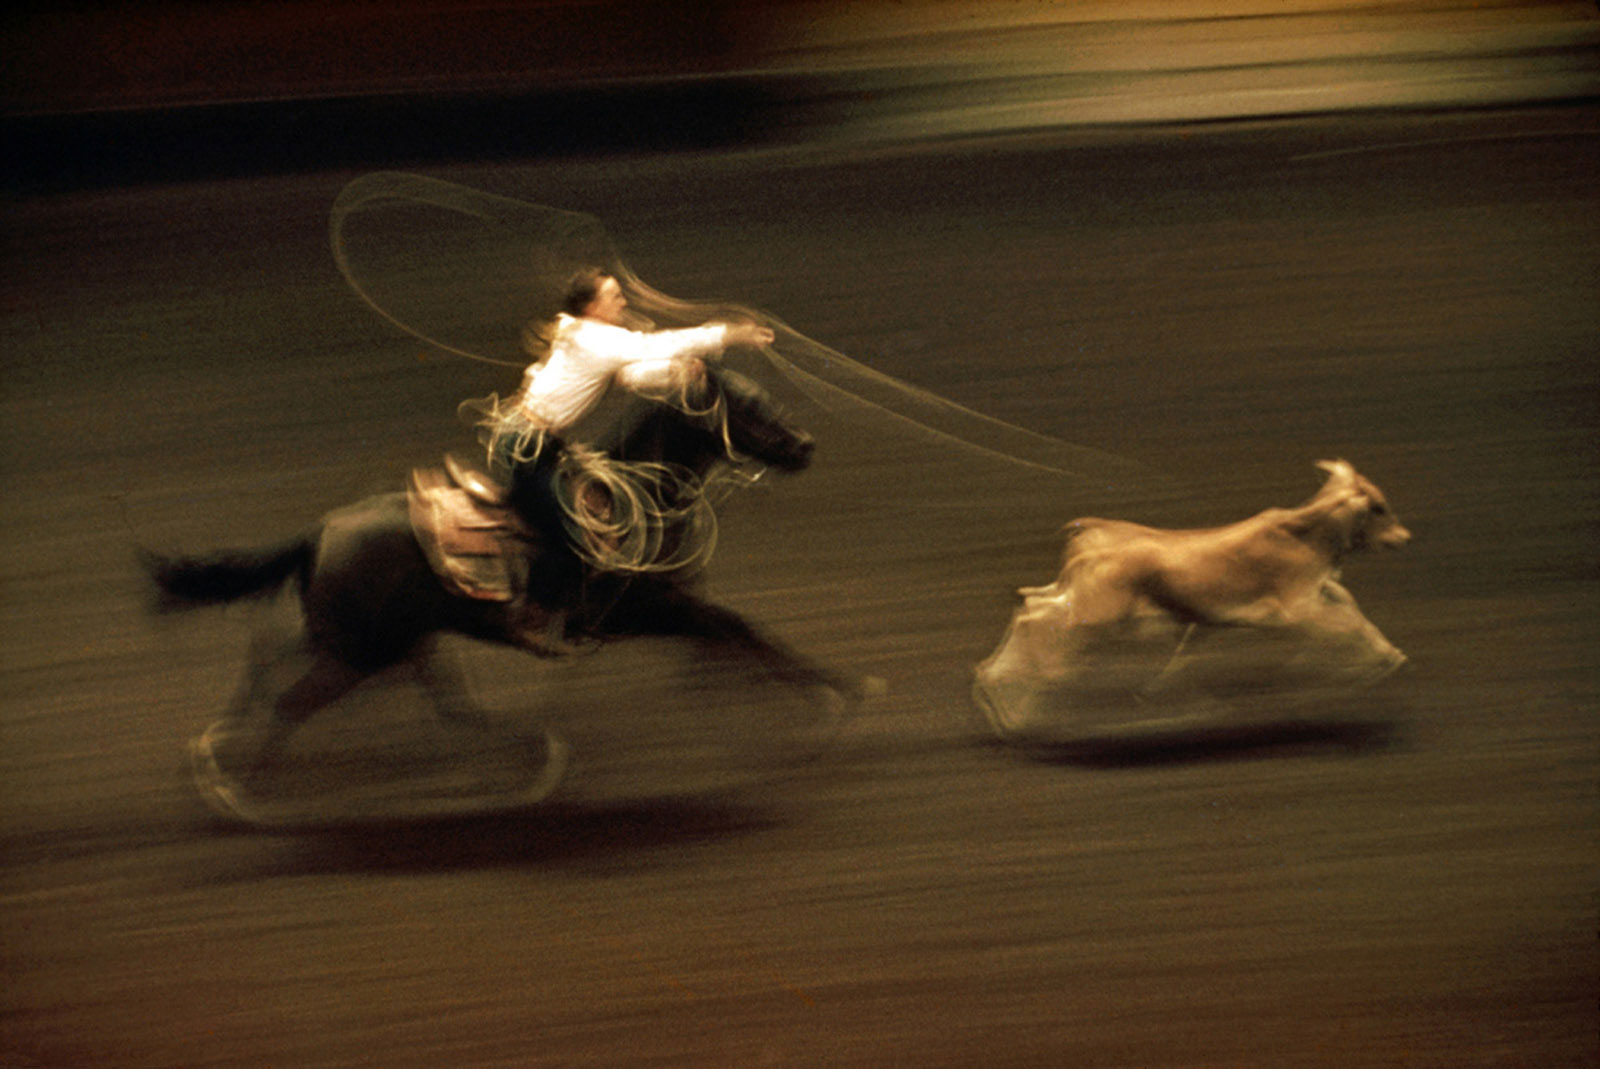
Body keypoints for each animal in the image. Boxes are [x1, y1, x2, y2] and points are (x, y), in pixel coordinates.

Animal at [147, 371, 864, 825]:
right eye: (751, 407)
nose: (805, 446)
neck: (638, 494)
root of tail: (320, 530)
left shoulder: (675, 609)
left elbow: (731, 642)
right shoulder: (652, 610)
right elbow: (740, 629)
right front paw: (834, 701)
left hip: (381, 640)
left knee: (295, 679)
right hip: (363, 650)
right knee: (291, 703)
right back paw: (244, 794)